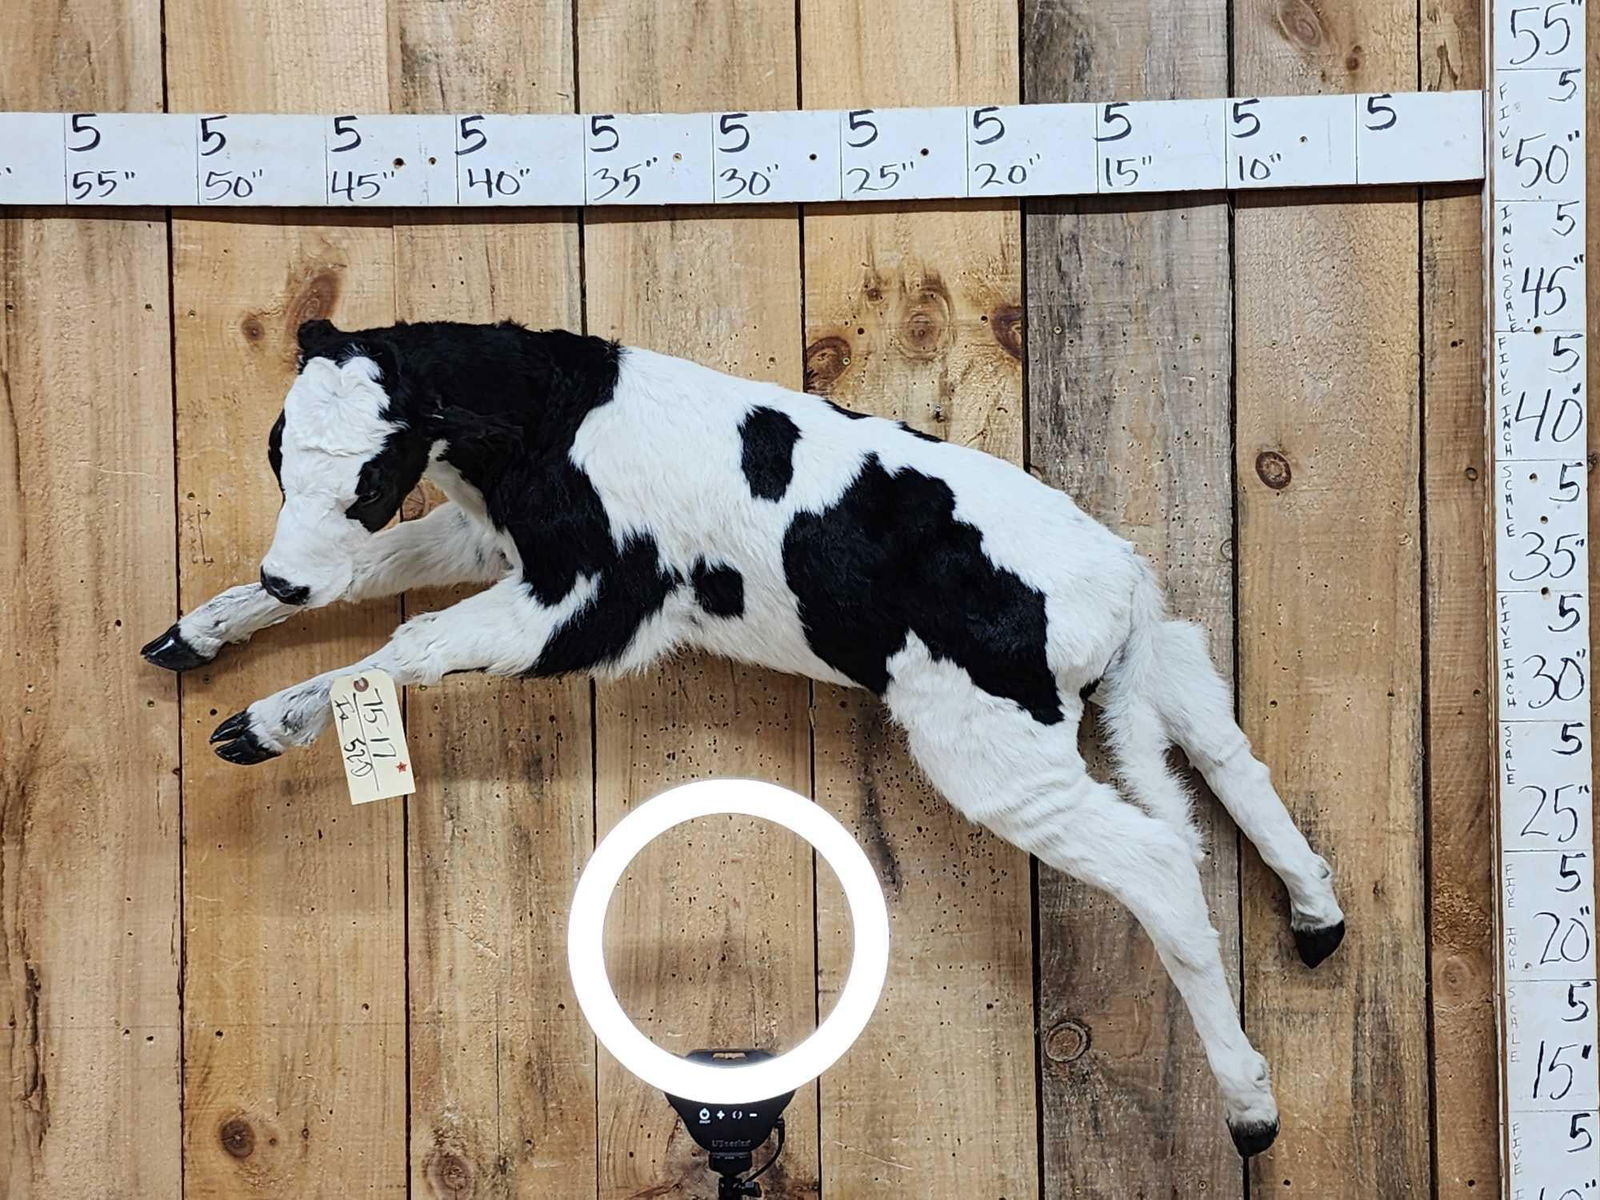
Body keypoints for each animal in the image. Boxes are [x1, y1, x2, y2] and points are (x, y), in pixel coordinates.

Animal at [142, 318, 1346, 1156]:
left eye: (373, 471)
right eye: (276, 450)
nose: (282, 576)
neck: (550, 422)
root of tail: (1116, 583)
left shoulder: (589, 604)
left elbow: (410, 642)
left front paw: (265, 722)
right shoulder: (500, 544)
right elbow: (382, 581)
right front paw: (201, 632)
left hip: (989, 746)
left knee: (1157, 860)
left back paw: (1249, 1105)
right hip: (1161, 663)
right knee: (1227, 757)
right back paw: (1316, 914)